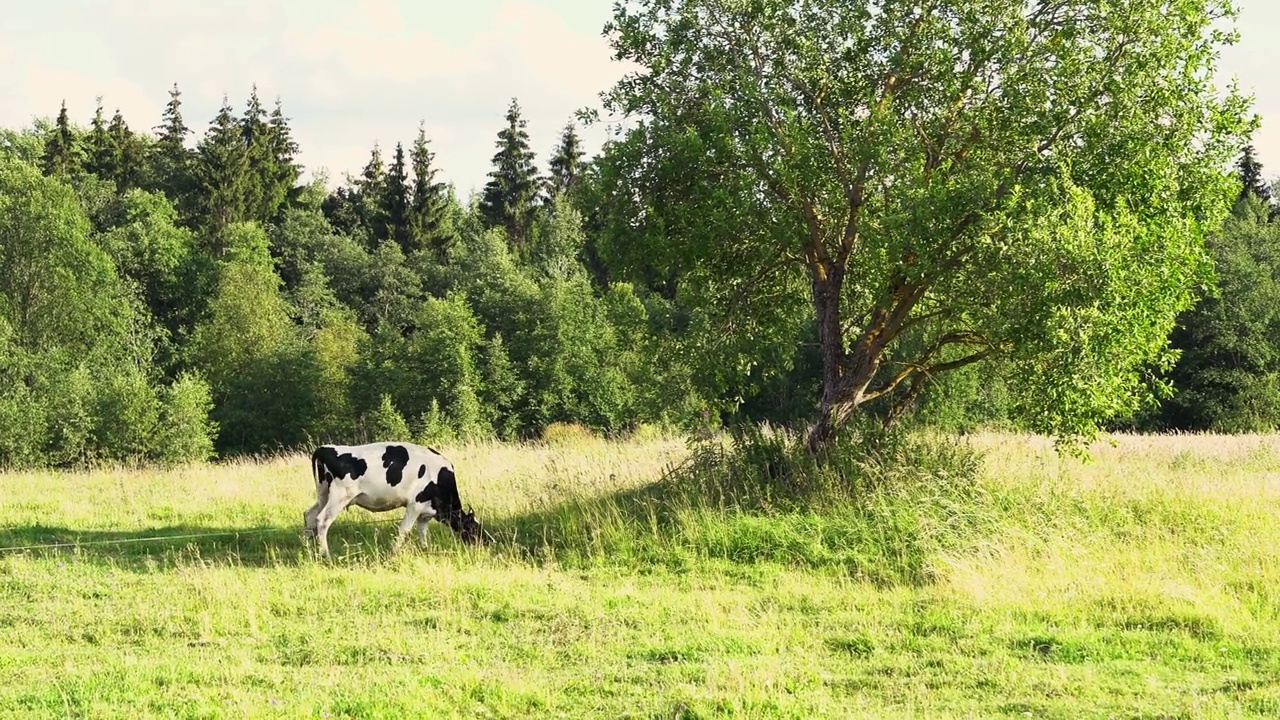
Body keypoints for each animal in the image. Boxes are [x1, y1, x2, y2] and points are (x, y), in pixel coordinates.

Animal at [303, 438, 483, 556]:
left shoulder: (425, 512)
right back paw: (326, 555)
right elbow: (404, 529)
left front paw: (425, 549)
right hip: (340, 496)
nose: (484, 543)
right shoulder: (415, 505)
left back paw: (307, 548)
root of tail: (325, 448)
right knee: (322, 520)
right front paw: (394, 552)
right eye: (475, 528)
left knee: (309, 515)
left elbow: (422, 531)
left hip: (324, 495)